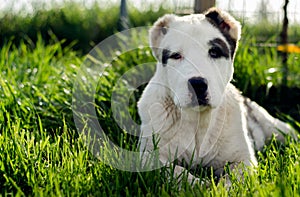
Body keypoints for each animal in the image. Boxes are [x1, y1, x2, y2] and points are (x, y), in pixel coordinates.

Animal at [138, 7, 296, 183]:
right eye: (175, 56)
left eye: (214, 52)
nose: (198, 84)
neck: (198, 120)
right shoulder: (149, 156)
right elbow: (176, 172)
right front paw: (200, 184)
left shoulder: (243, 159)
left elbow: (235, 179)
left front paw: (220, 186)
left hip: (275, 127)